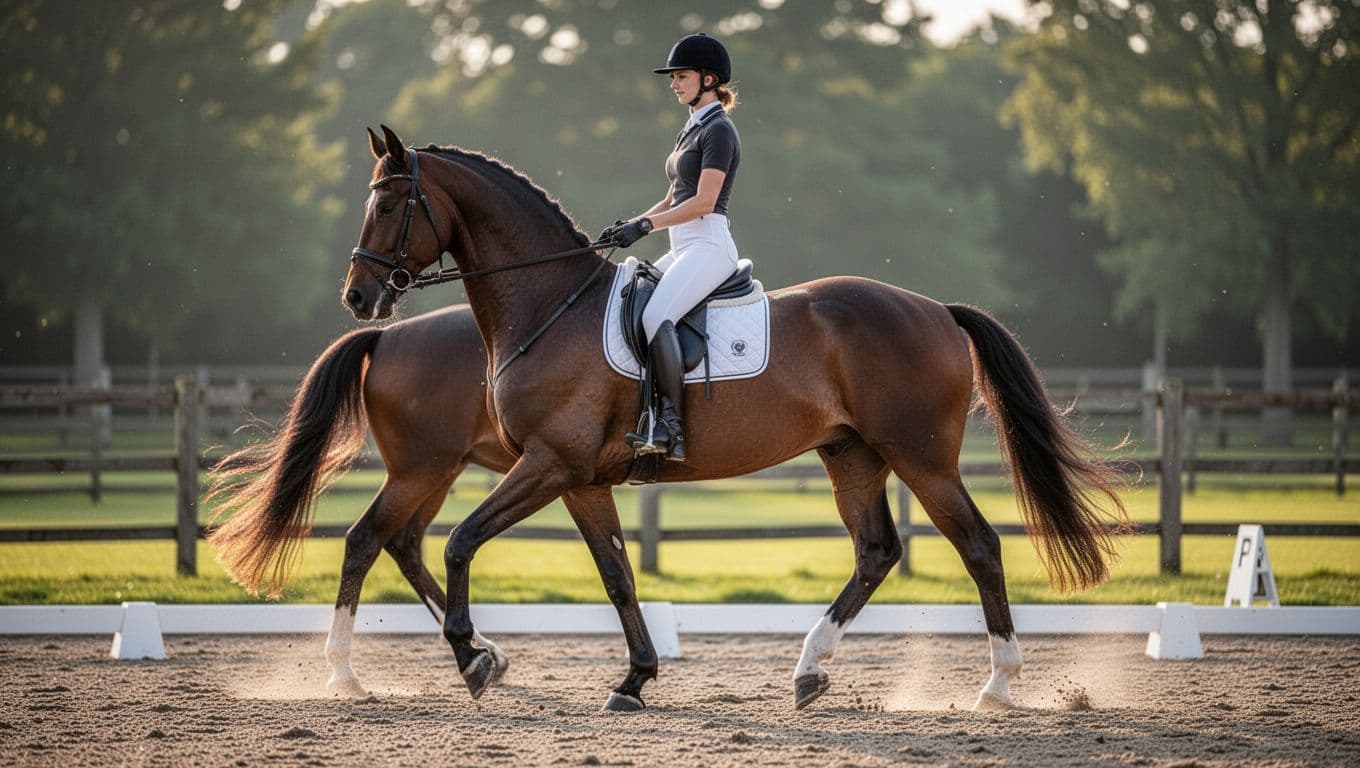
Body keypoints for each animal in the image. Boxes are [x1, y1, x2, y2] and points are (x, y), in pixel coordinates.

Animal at [206, 305, 518, 696]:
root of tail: (384, 337)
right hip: (418, 472)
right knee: (366, 539)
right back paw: (344, 670)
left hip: (438, 472)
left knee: (403, 543)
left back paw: (484, 651)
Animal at [339, 124, 1130, 713]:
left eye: (390, 204)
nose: (358, 297)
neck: (549, 307)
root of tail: (936, 308)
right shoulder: (580, 479)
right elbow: (618, 577)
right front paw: (634, 681)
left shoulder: (548, 464)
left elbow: (461, 543)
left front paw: (475, 659)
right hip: (852, 455)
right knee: (877, 551)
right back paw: (810, 670)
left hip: (922, 457)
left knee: (979, 546)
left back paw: (996, 686)